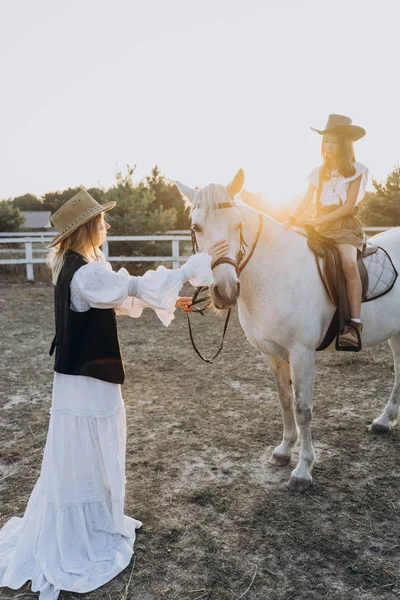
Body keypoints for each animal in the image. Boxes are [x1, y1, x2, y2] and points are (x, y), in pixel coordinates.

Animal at [176, 170, 400, 492]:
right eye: (196, 227)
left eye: (238, 225)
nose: (226, 290)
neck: (274, 272)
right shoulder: (271, 354)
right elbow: (284, 401)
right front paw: (284, 451)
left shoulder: (301, 354)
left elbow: (302, 408)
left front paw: (303, 469)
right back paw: (384, 421)